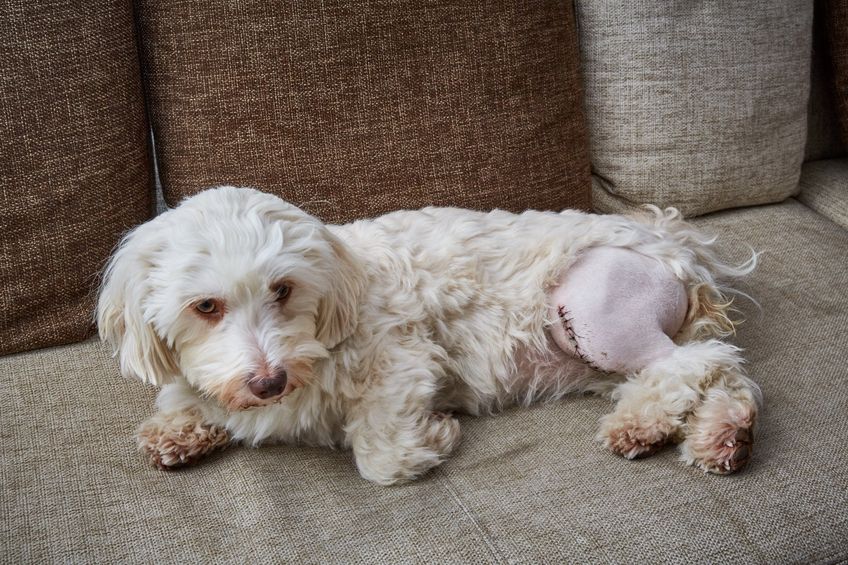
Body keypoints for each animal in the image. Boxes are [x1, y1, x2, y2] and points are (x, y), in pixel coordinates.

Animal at [96, 186, 760, 484]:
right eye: (205, 306)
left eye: (282, 289)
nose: (269, 381)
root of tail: (671, 239)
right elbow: (187, 397)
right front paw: (178, 429)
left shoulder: (403, 361)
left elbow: (380, 457)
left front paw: (433, 438)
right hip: (603, 358)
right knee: (719, 370)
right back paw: (723, 435)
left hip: (593, 310)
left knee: (696, 359)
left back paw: (642, 425)